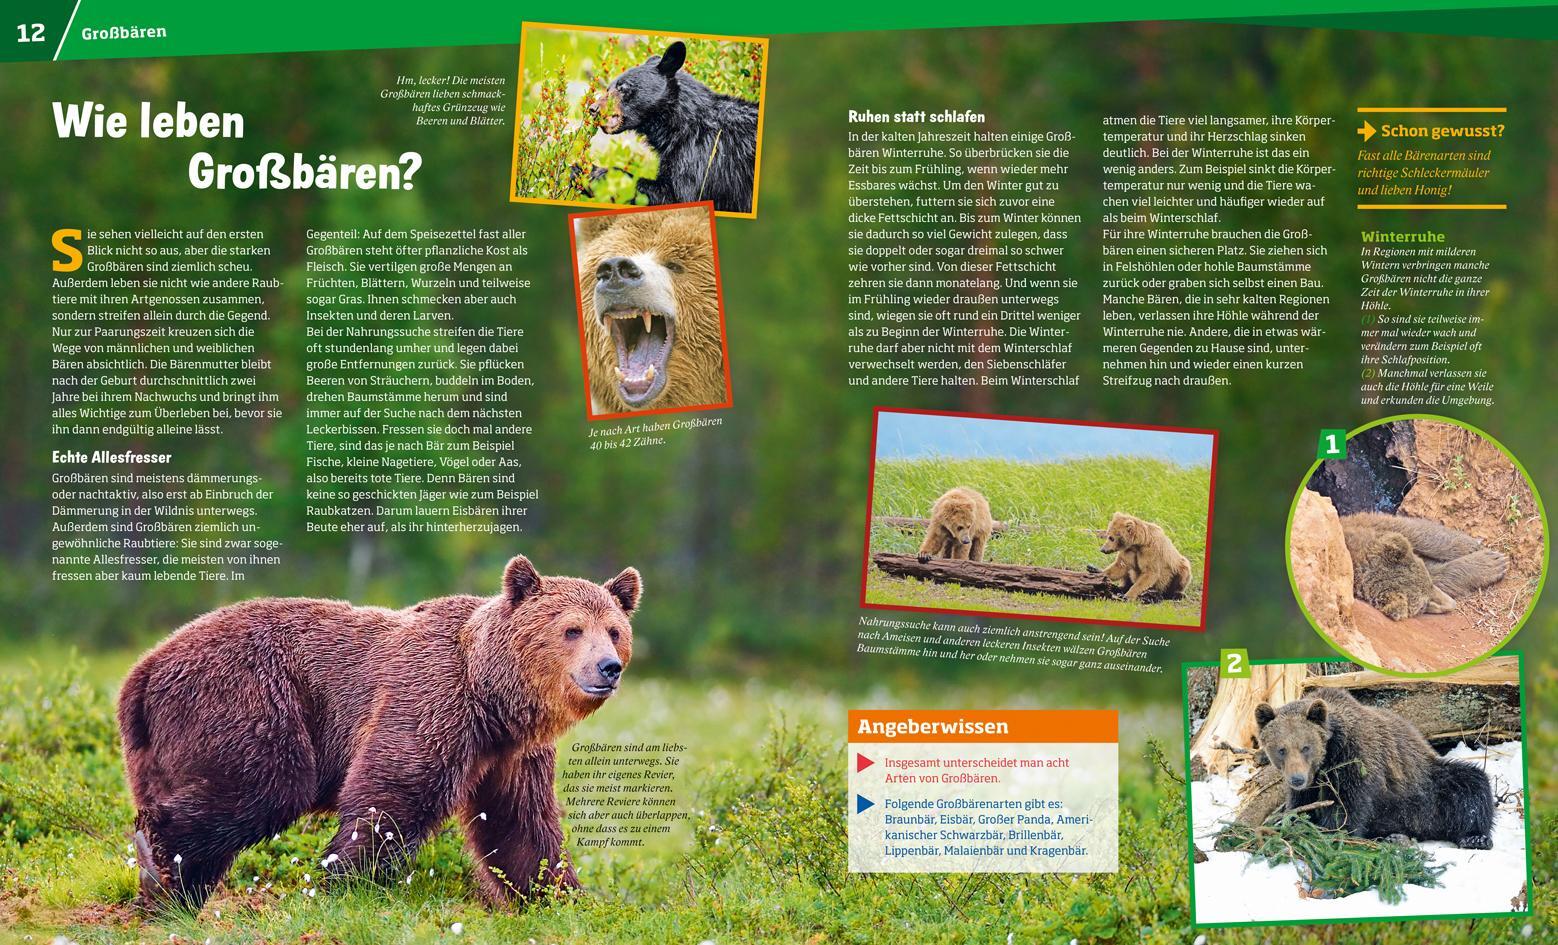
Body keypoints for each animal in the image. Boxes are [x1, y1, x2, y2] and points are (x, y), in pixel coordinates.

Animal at [117, 555, 640, 911]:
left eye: (614, 631)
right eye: (572, 629)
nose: (608, 668)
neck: (491, 696)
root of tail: (142, 671)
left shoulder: (512, 754)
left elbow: (522, 826)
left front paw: (564, 898)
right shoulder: (431, 698)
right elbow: (392, 793)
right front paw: (347, 880)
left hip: (160, 744)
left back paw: (173, 893)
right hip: (249, 696)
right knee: (267, 785)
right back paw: (160, 863)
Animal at [586, 41, 759, 214]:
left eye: (623, 88)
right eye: (608, 88)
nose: (593, 109)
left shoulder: (700, 155)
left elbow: (677, 195)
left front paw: (597, 174)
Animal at [1255, 687, 1494, 849]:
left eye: (1306, 747)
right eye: (1281, 749)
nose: (1297, 779)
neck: (1329, 755)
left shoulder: (1355, 760)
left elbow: (1346, 807)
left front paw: (1331, 833)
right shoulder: (1312, 783)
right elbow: (1302, 806)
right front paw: (1295, 824)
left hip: (1427, 784)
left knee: (1470, 784)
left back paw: (1475, 837)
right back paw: (1394, 837)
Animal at [1339, 512, 1508, 620]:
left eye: (1430, 584)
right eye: (1422, 606)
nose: (1451, 605)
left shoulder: (1364, 527)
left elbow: (1413, 530)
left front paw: (1473, 547)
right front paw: (1494, 563)